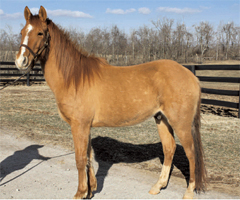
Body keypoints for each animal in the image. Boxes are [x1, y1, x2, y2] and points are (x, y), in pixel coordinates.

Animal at [15, 5, 206, 198]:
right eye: (22, 32)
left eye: (40, 33)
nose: (21, 61)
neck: (75, 77)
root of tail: (191, 76)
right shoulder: (86, 126)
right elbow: (88, 156)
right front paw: (91, 189)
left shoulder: (79, 125)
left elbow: (80, 158)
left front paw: (80, 192)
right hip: (162, 119)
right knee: (169, 149)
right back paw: (157, 186)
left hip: (181, 124)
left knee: (191, 154)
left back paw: (189, 191)